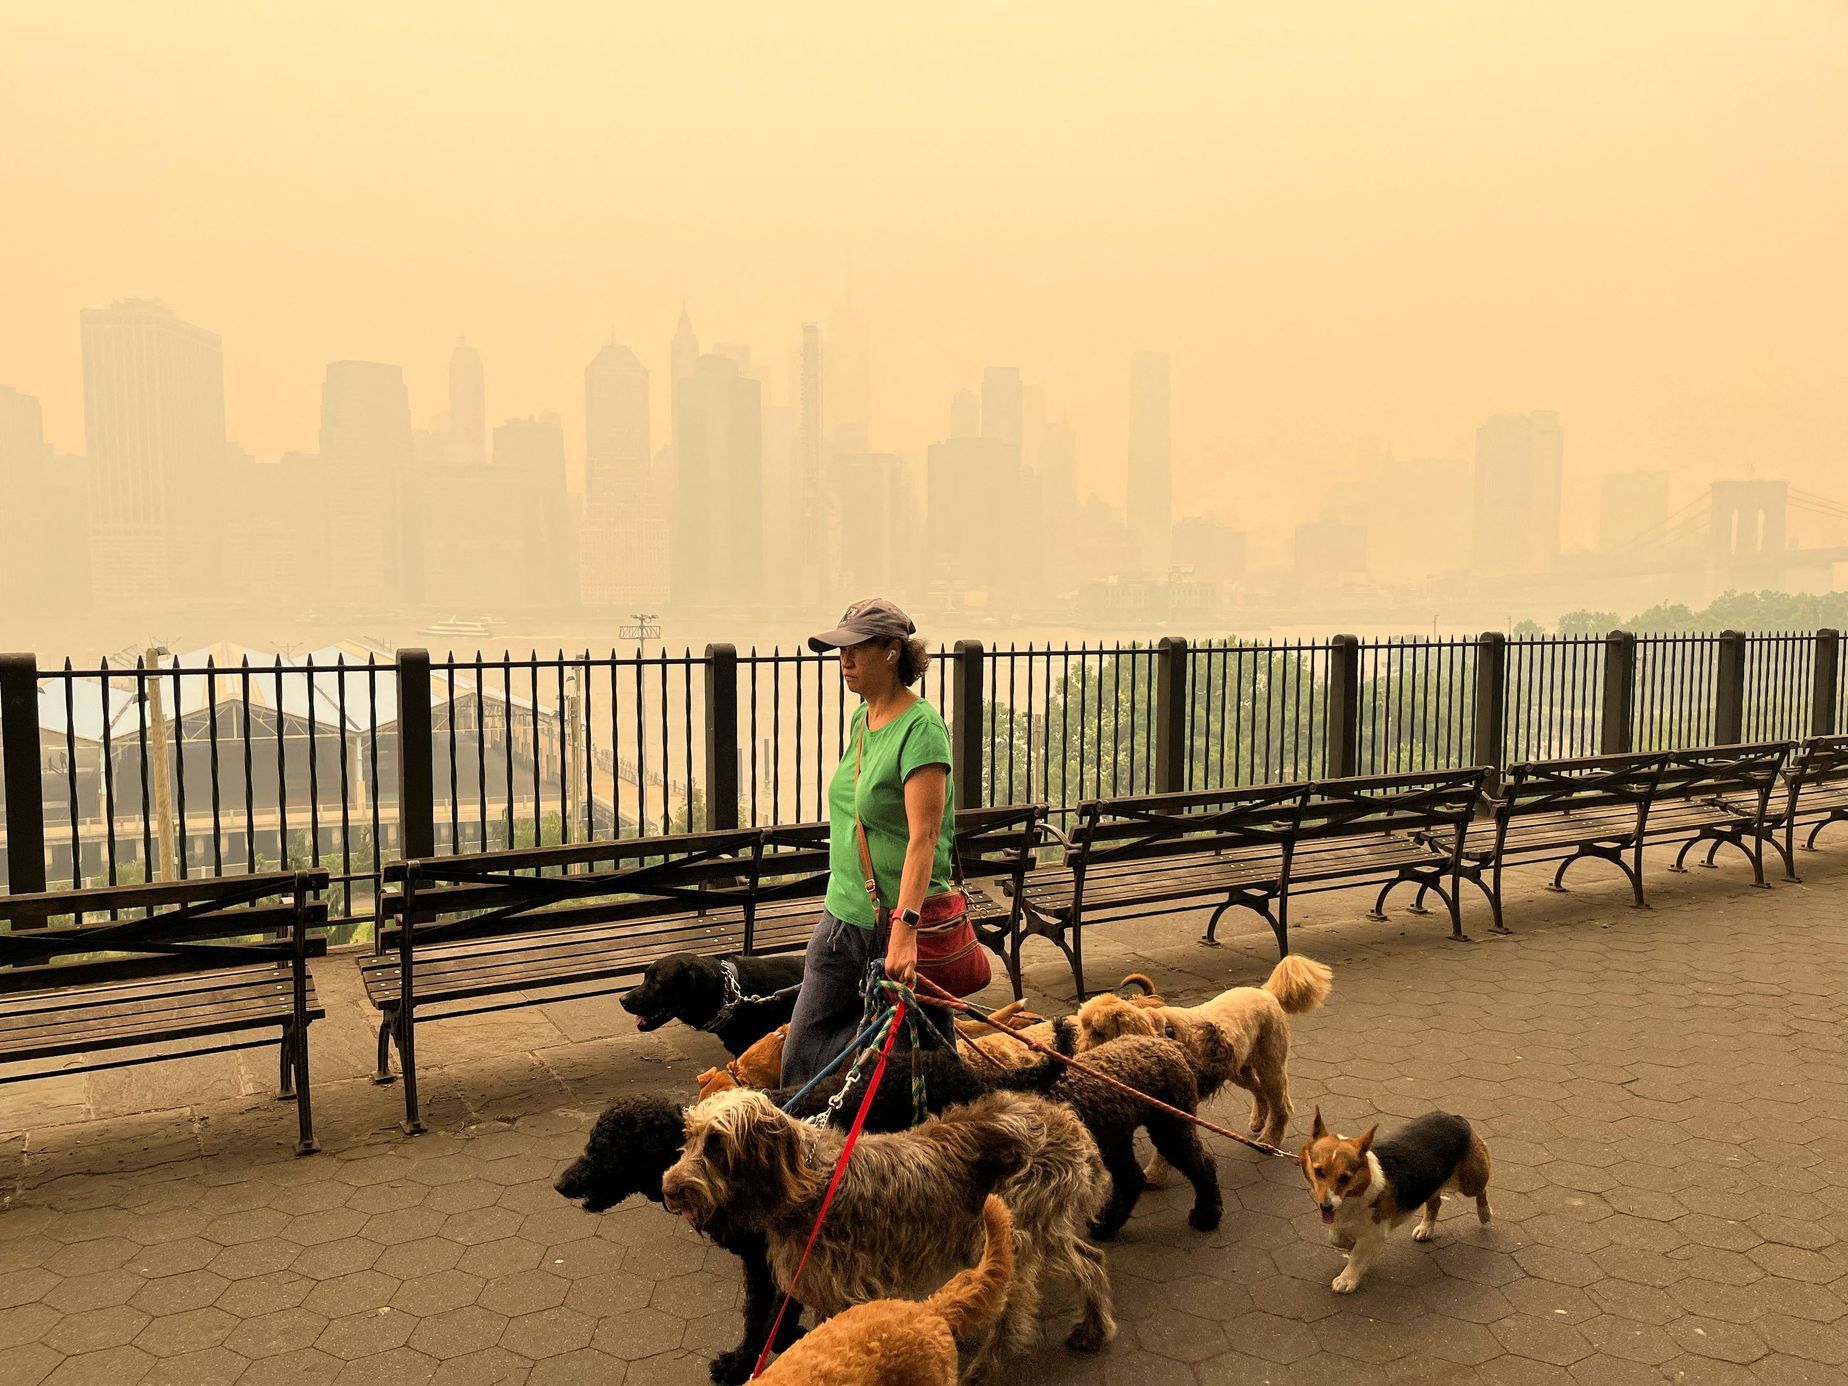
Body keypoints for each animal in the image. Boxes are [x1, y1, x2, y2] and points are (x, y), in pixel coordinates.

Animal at [1071, 953, 1330, 1160]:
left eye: (1098, 1031)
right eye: (1083, 1025)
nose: (1076, 1054)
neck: (1161, 1031)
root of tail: (1268, 994)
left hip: (1270, 1065)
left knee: (1280, 1106)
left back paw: (1269, 1140)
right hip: (1238, 1069)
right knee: (1260, 1091)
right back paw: (1258, 1120)